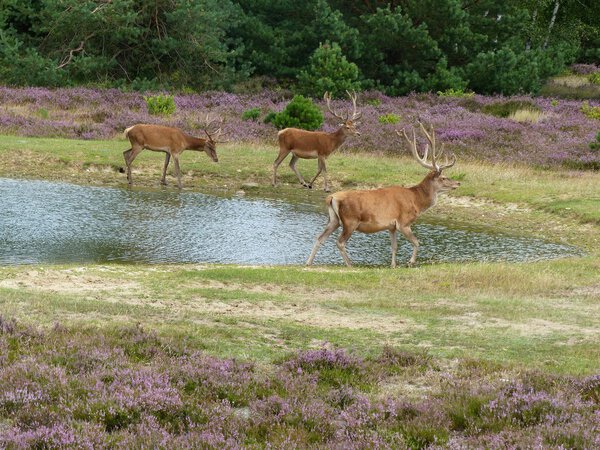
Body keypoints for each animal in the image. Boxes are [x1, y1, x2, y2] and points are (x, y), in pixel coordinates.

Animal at [308, 121, 458, 268]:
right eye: (443, 177)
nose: (458, 183)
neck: (416, 201)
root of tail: (331, 197)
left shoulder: (391, 226)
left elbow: (394, 247)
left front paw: (393, 265)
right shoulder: (404, 222)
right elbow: (416, 242)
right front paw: (410, 262)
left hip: (334, 220)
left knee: (320, 237)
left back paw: (309, 262)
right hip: (350, 220)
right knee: (340, 242)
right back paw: (350, 265)